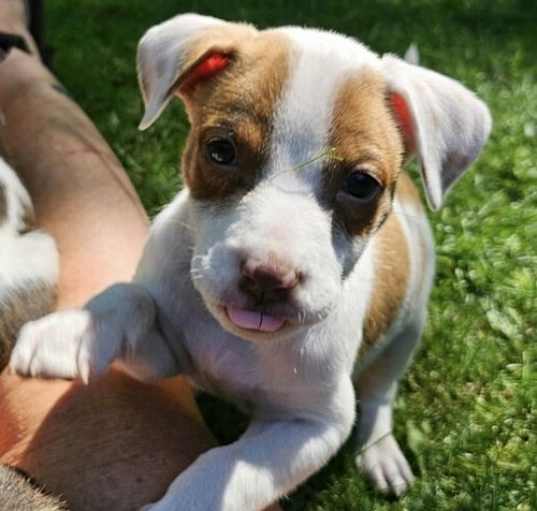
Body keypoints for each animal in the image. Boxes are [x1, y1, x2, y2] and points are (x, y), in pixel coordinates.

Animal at [10, 14, 492, 510]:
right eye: (221, 150)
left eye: (361, 184)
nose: (268, 277)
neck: (241, 342)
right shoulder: (164, 357)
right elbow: (133, 299)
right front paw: (73, 332)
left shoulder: (311, 426)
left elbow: (226, 468)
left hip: (406, 330)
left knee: (379, 395)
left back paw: (381, 453)